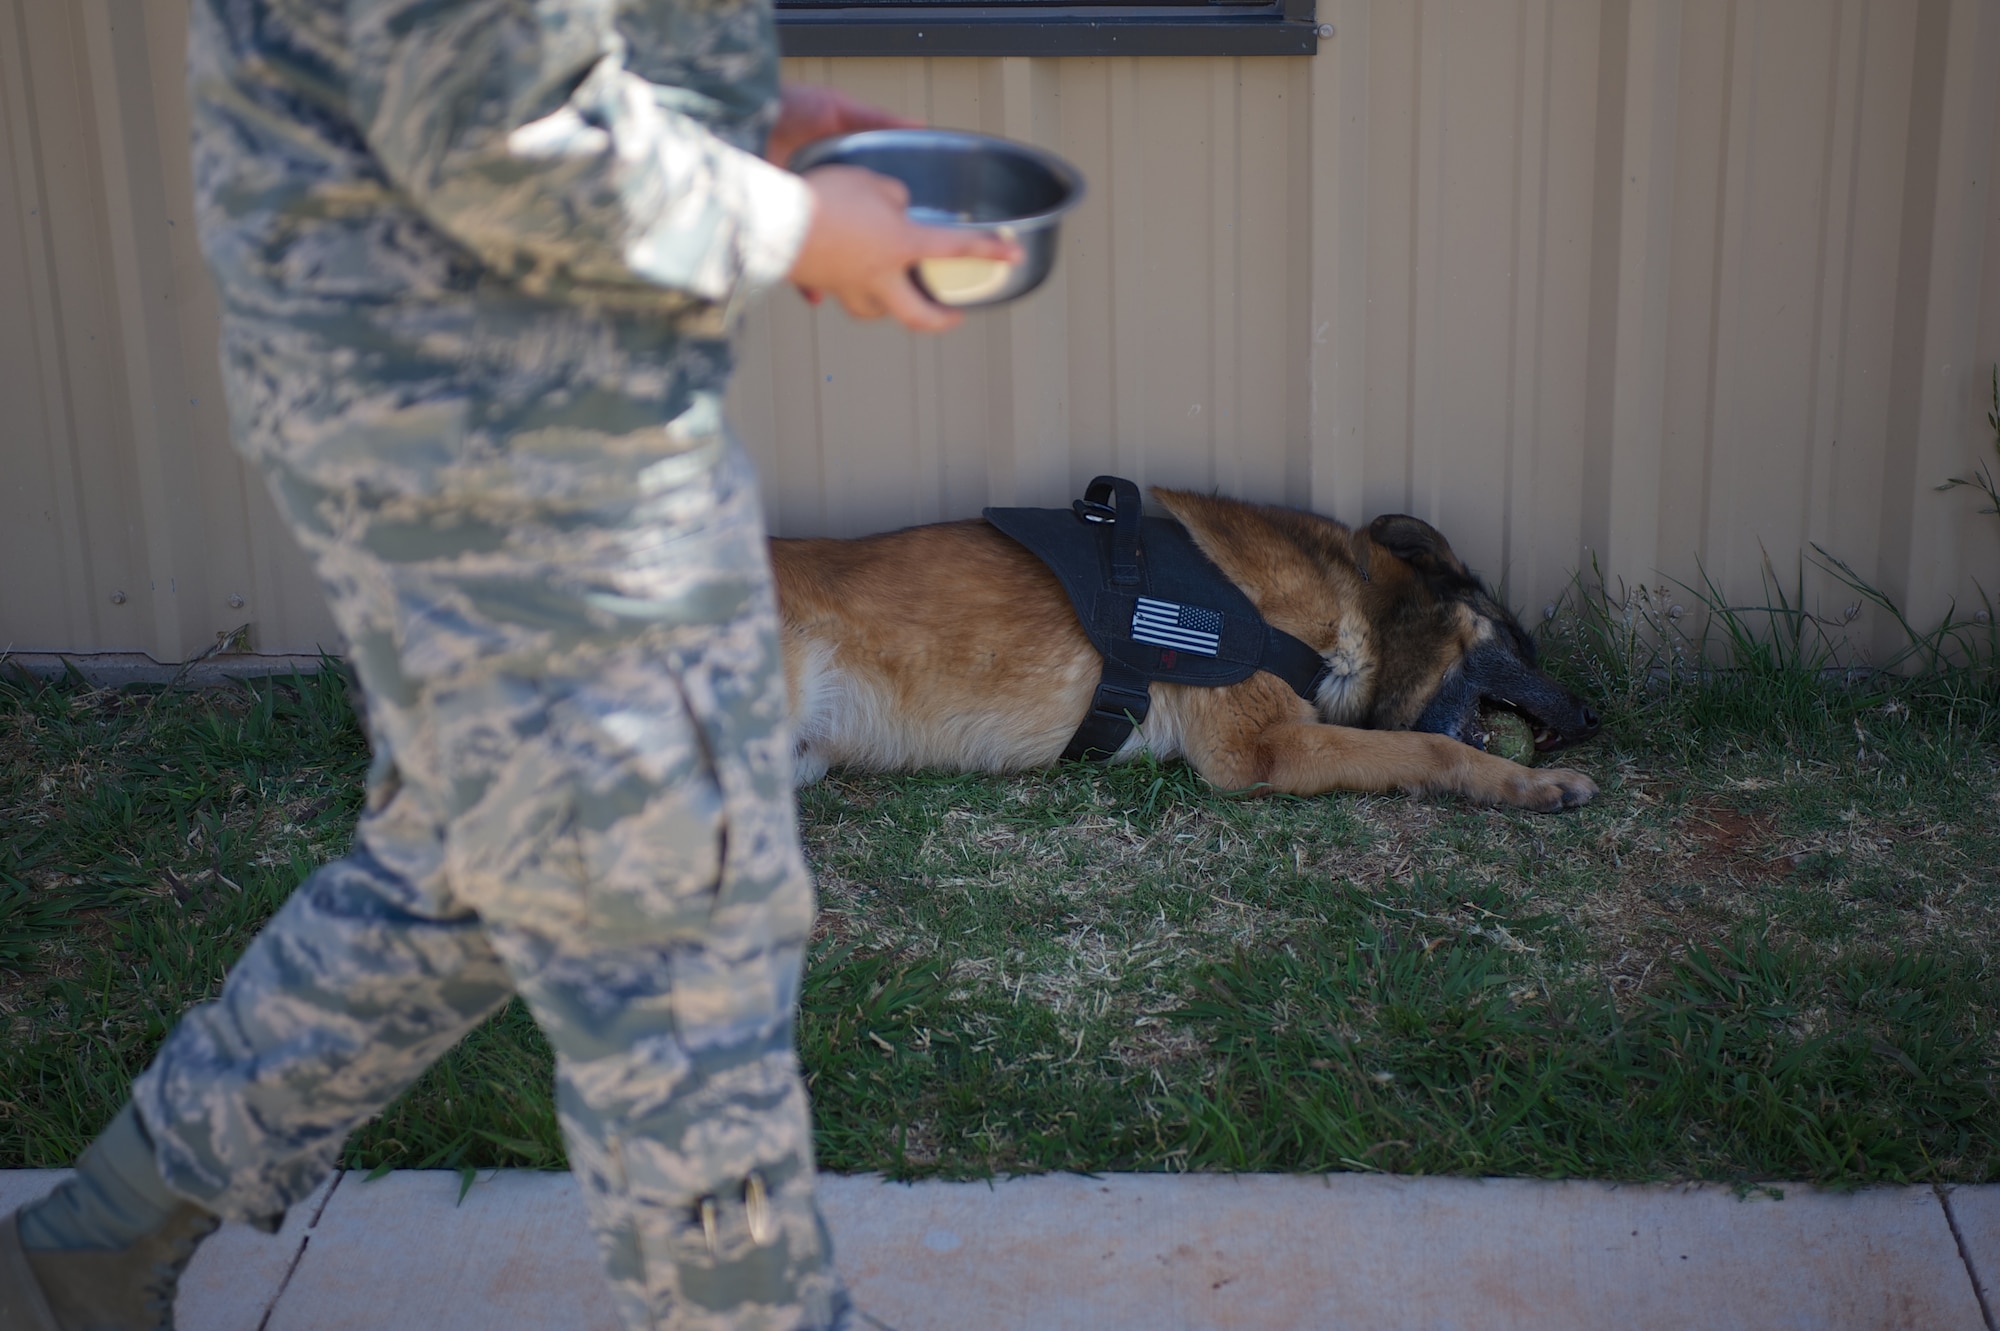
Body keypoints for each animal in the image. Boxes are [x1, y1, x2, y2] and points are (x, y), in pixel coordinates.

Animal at [772, 487, 1600, 807]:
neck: (1349, 602)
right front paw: (1528, 783)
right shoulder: (1261, 749)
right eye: (1518, 640)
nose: (1595, 717)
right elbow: (1433, 747)